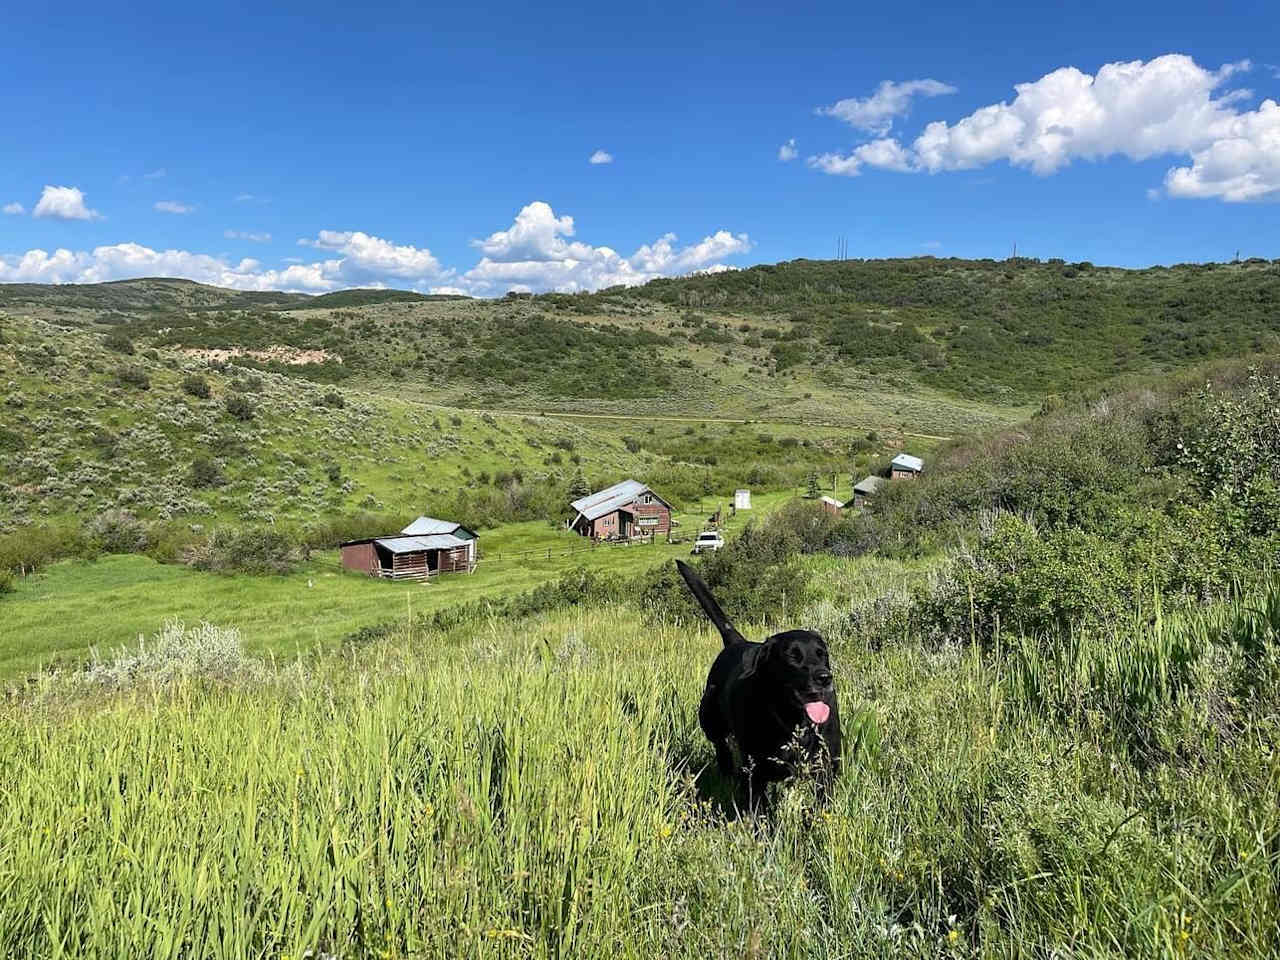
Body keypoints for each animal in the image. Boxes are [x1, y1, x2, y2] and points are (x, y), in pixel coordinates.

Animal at [675, 560, 844, 808]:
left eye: (822, 654)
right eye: (793, 656)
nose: (824, 677)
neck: (793, 722)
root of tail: (737, 641)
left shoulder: (826, 767)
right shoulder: (755, 773)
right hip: (710, 719)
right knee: (721, 746)